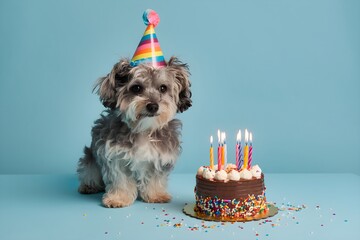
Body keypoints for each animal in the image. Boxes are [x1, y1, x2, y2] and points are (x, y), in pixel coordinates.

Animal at [76, 56, 191, 208]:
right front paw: (118, 198)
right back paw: (88, 186)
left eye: (163, 88)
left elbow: (155, 178)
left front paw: (156, 195)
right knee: (89, 173)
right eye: (136, 88)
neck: (143, 129)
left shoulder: (160, 157)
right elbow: (120, 180)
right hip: (90, 159)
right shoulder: (115, 158)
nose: (153, 106)